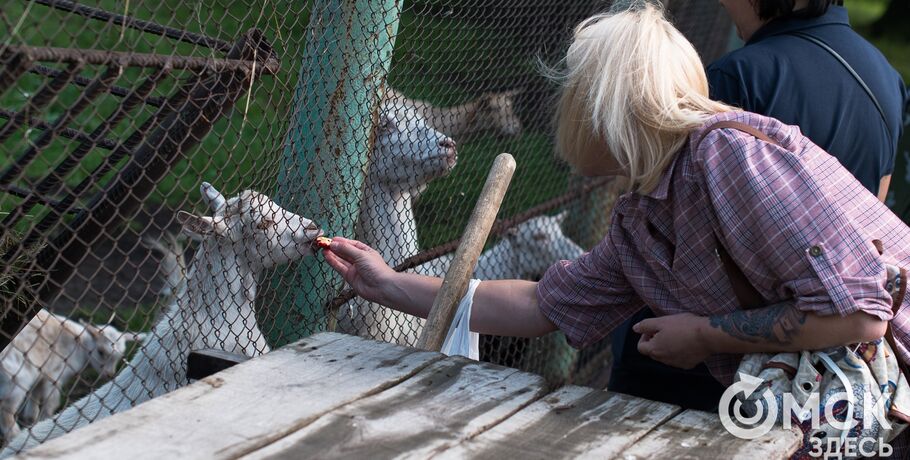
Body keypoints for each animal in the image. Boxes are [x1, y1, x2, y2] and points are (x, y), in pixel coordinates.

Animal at [0, 310, 141, 442]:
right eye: (101, 352)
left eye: (120, 356)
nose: (109, 375)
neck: (80, 345)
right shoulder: (55, 375)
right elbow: (51, 404)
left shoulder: (41, 375)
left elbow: (32, 407)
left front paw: (32, 424)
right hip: (16, 379)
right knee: (7, 416)